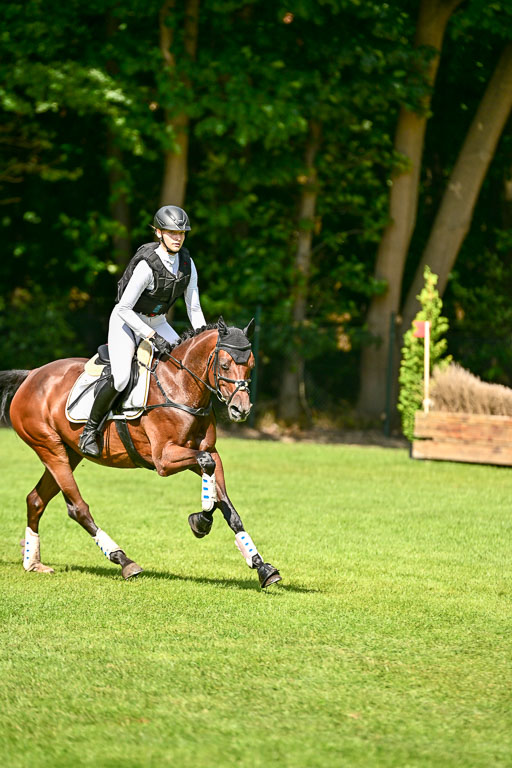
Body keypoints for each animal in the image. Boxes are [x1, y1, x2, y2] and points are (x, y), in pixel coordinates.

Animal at [0, 317, 281, 589]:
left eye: (251, 365)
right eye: (224, 365)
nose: (240, 410)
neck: (181, 387)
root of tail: (31, 374)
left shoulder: (208, 452)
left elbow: (227, 505)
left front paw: (262, 566)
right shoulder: (165, 459)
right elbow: (207, 471)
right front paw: (201, 520)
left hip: (69, 452)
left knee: (36, 500)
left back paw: (33, 562)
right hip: (50, 448)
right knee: (77, 508)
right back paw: (123, 560)